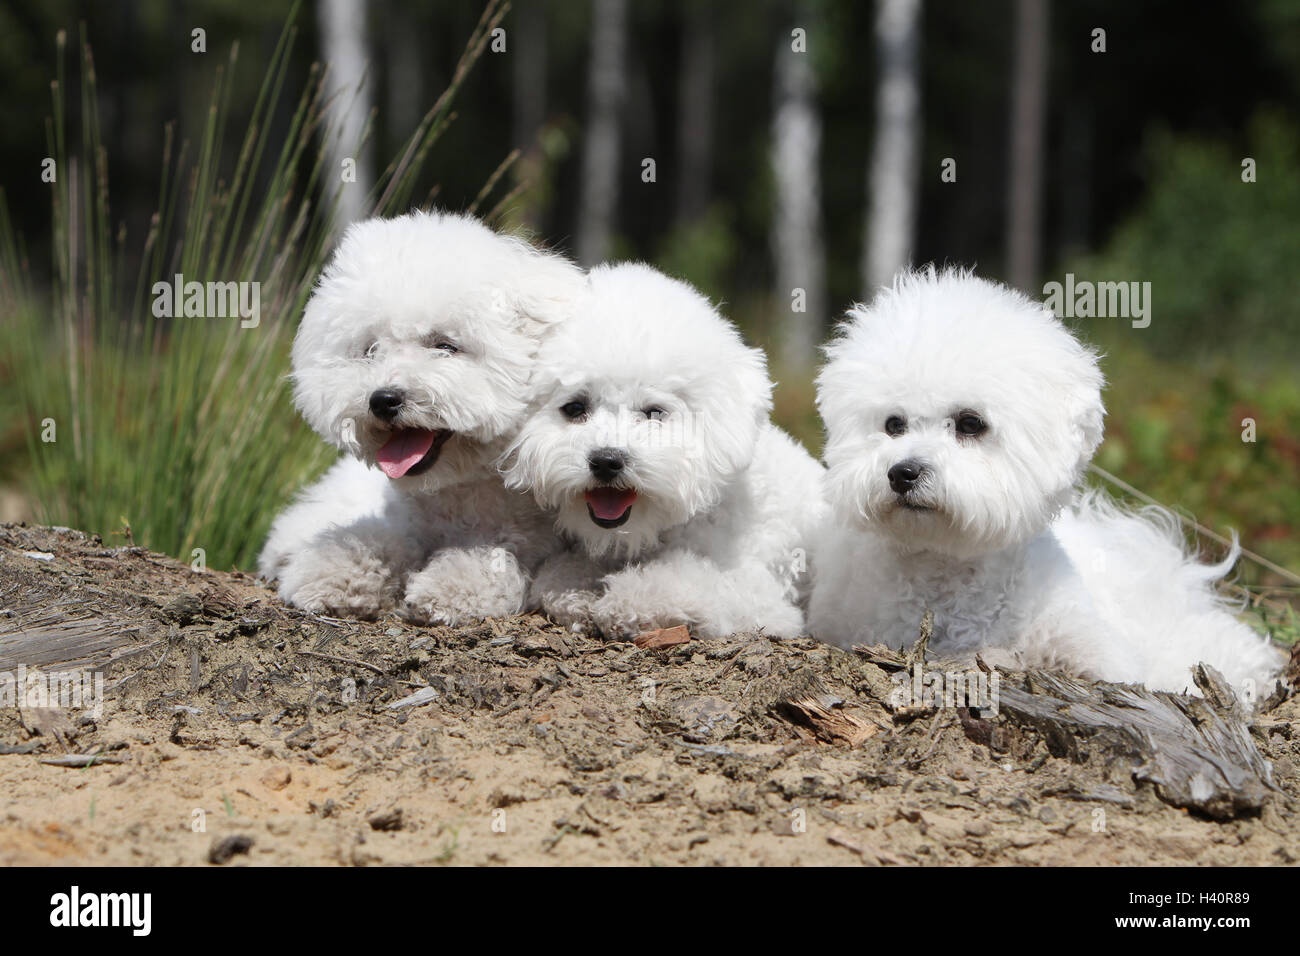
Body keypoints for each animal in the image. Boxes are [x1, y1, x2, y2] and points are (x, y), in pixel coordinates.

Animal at [256, 210, 582, 624]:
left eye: (445, 346)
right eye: (370, 350)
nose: (383, 399)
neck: (456, 495)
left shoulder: (528, 540)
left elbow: (493, 557)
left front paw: (451, 585)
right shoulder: (402, 521)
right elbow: (380, 540)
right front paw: (336, 568)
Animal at [501, 260, 826, 642]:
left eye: (655, 412)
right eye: (575, 408)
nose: (606, 461)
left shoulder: (759, 595)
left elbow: (685, 582)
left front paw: (630, 600)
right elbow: (558, 578)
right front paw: (579, 593)